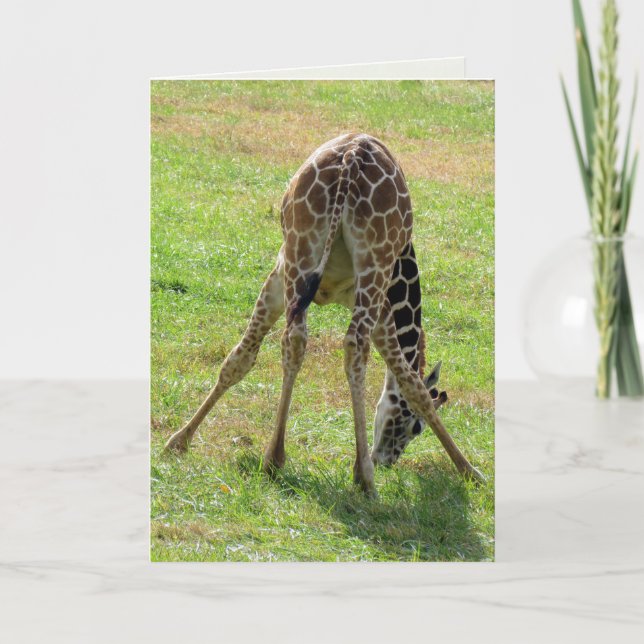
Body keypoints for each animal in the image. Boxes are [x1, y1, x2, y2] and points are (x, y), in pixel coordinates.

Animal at [164, 132, 484, 495]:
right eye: (413, 428)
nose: (387, 459)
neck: (401, 278)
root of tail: (351, 162)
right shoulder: (382, 308)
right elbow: (414, 387)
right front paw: (471, 471)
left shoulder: (279, 277)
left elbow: (238, 360)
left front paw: (178, 440)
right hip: (370, 267)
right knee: (354, 345)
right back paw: (363, 477)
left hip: (300, 251)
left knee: (294, 338)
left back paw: (274, 457)